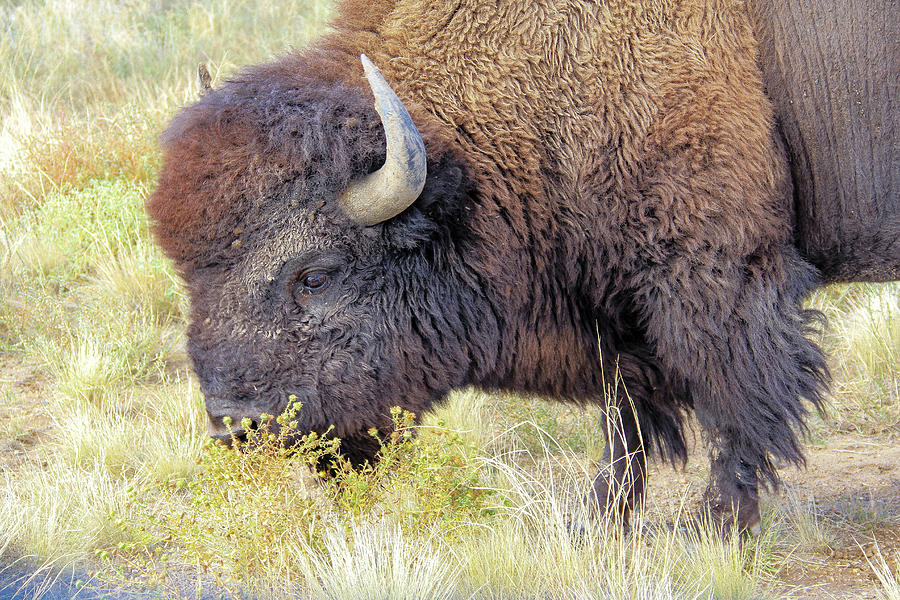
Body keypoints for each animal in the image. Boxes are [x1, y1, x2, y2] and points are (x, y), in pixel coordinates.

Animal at [149, 0, 900, 536]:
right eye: (189, 275)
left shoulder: (715, 277)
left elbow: (739, 400)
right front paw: (599, 523)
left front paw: (716, 528)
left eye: (315, 276)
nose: (235, 425)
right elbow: (628, 417)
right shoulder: (614, 308)